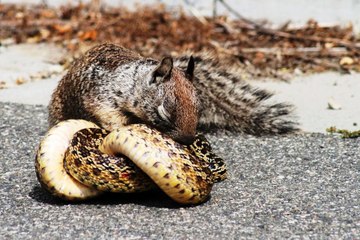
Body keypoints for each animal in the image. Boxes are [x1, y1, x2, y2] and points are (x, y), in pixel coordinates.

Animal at [48, 42, 298, 144]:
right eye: (165, 112)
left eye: (200, 109)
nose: (187, 140)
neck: (133, 82)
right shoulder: (103, 98)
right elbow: (109, 116)